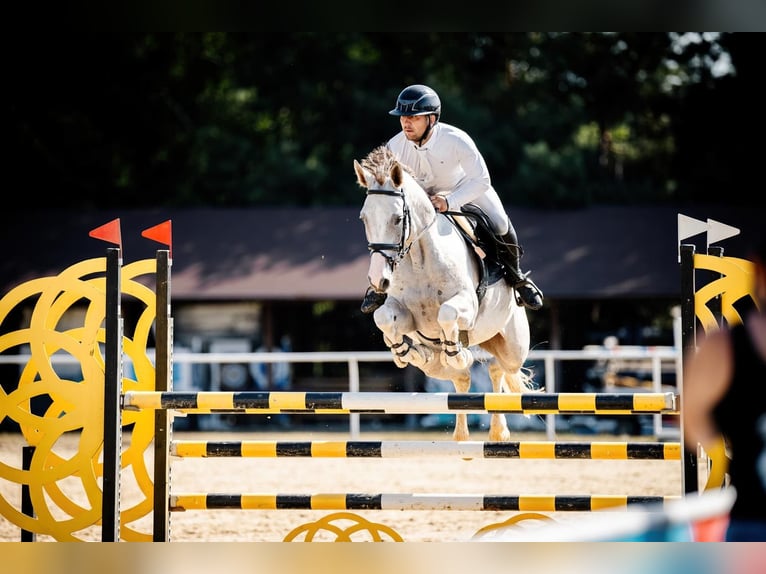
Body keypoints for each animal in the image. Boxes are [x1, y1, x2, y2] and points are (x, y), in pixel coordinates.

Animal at [354, 146, 536, 444]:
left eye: (398, 218)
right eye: (364, 218)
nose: (378, 280)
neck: (419, 259)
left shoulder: (466, 305)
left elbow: (447, 314)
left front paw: (457, 351)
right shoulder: (403, 312)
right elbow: (384, 318)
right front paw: (407, 352)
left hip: (513, 346)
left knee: (499, 368)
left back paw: (498, 429)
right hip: (450, 366)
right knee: (462, 378)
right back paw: (462, 432)